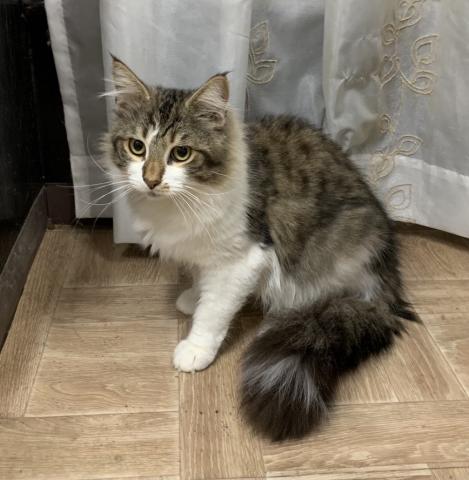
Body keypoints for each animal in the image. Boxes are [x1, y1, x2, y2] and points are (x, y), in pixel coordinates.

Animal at [103, 56, 418, 441]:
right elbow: (199, 277)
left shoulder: (244, 258)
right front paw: (193, 296)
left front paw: (196, 347)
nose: (150, 180)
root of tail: (387, 286)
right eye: (137, 147)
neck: (177, 206)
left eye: (181, 153)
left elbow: (214, 311)